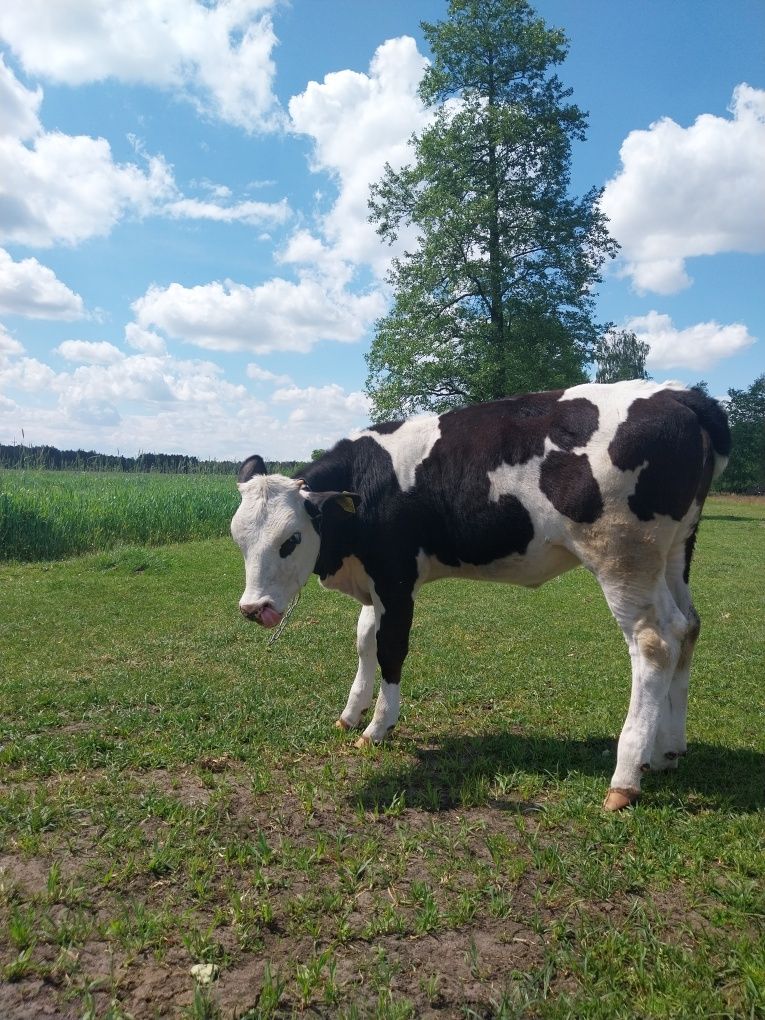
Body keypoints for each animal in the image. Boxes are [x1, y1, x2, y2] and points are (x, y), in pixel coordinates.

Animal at [232, 379, 730, 807]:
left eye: (291, 539)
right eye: (238, 538)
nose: (254, 608)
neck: (367, 486)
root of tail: (678, 394)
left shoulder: (396, 580)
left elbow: (390, 649)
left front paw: (377, 727)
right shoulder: (376, 584)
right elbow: (364, 642)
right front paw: (351, 713)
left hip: (623, 556)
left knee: (654, 641)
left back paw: (626, 776)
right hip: (674, 553)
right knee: (687, 626)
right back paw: (667, 750)